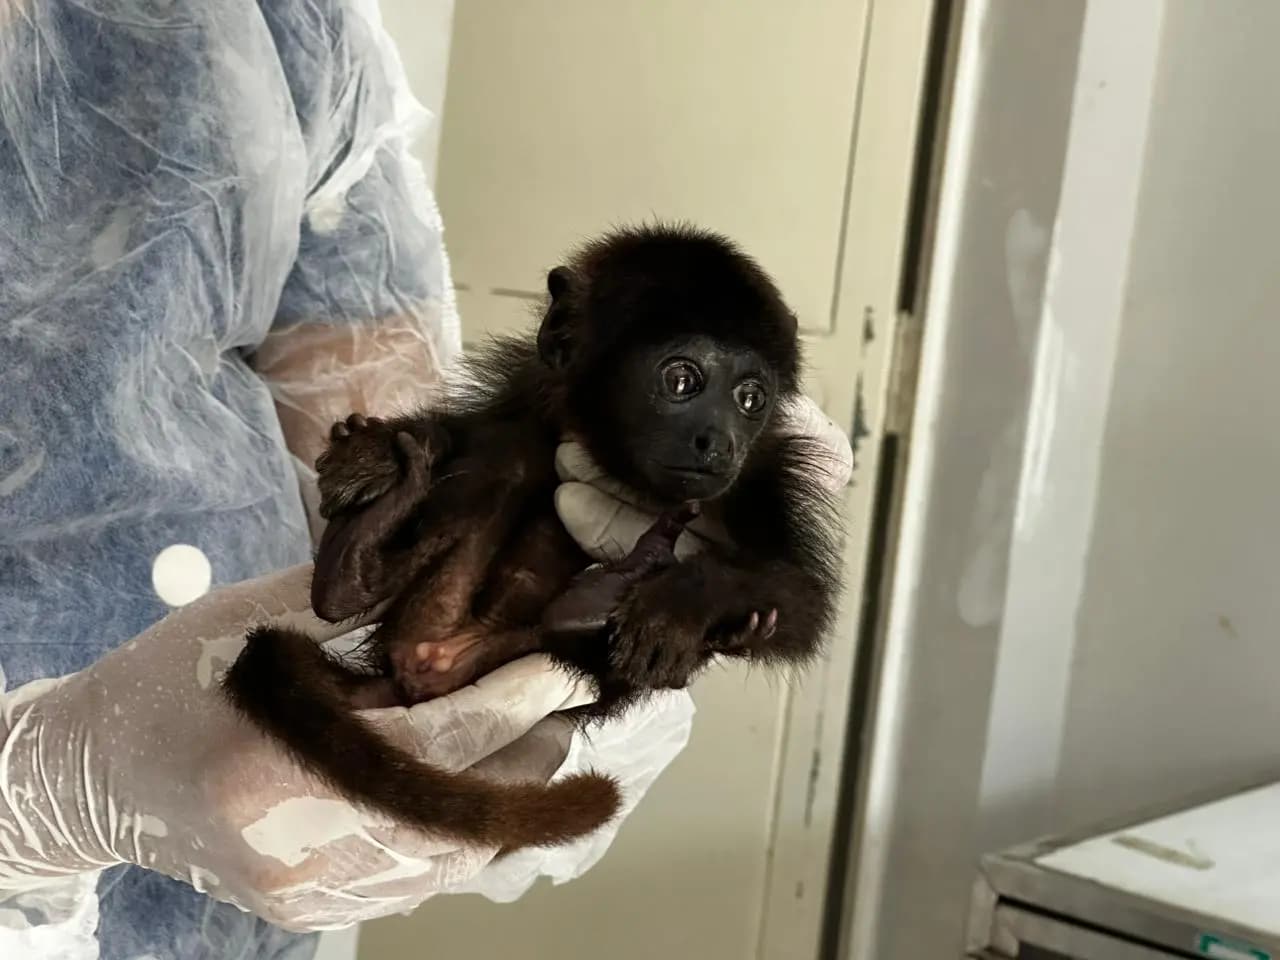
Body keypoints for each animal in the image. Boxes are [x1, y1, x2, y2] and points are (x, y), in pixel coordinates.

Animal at [223, 223, 843, 853]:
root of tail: (433, 663)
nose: (718, 441)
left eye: (751, 398)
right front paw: (373, 454)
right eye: (681, 380)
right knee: (513, 454)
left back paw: (597, 599)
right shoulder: (532, 385)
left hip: (524, 649)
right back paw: (356, 562)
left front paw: (680, 604)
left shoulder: (766, 473)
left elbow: (802, 601)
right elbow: (472, 430)